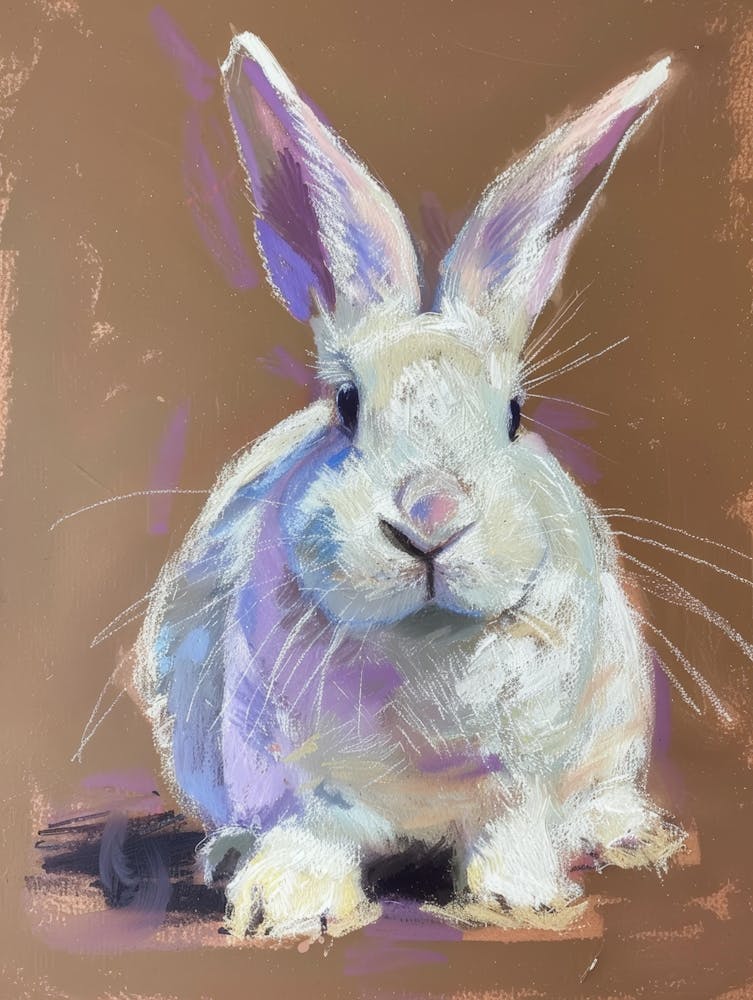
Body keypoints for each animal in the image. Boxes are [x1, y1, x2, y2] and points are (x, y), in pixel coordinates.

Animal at [135, 33, 683, 940]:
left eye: (513, 414)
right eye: (345, 404)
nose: (431, 518)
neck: (422, 644)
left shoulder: (518, 779)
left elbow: (510, 829)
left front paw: (521, 899)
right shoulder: (289, 776)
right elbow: (308, 833)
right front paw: (288, 908)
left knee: (598, 793)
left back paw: (627, 835)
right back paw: (225, 854)